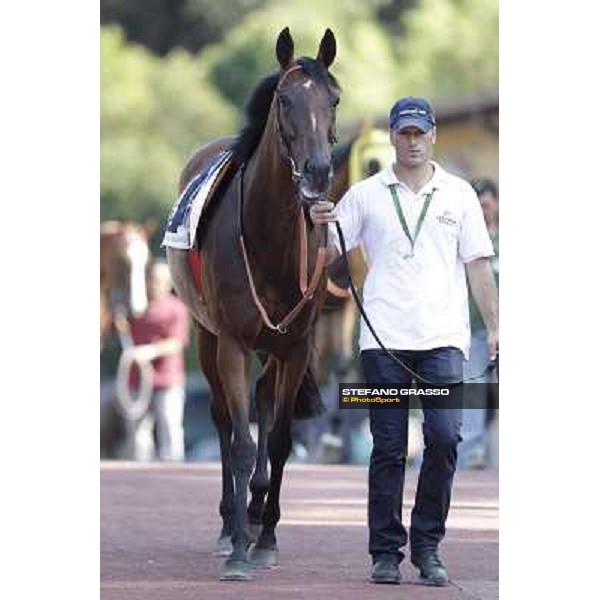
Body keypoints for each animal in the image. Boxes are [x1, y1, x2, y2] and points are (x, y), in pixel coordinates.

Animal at [166, 29, 340, 580]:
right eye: (284, 100)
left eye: (333, 99)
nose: (318, 172)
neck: (270, 240)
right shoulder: (235, 343)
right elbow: (240, 442)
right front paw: (241, 548)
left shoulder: (296, 345)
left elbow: (280, 438)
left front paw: (265, 539)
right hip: (207, 336)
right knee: (224, 419)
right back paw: (229, 523)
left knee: (263, 402)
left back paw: (258, 506)